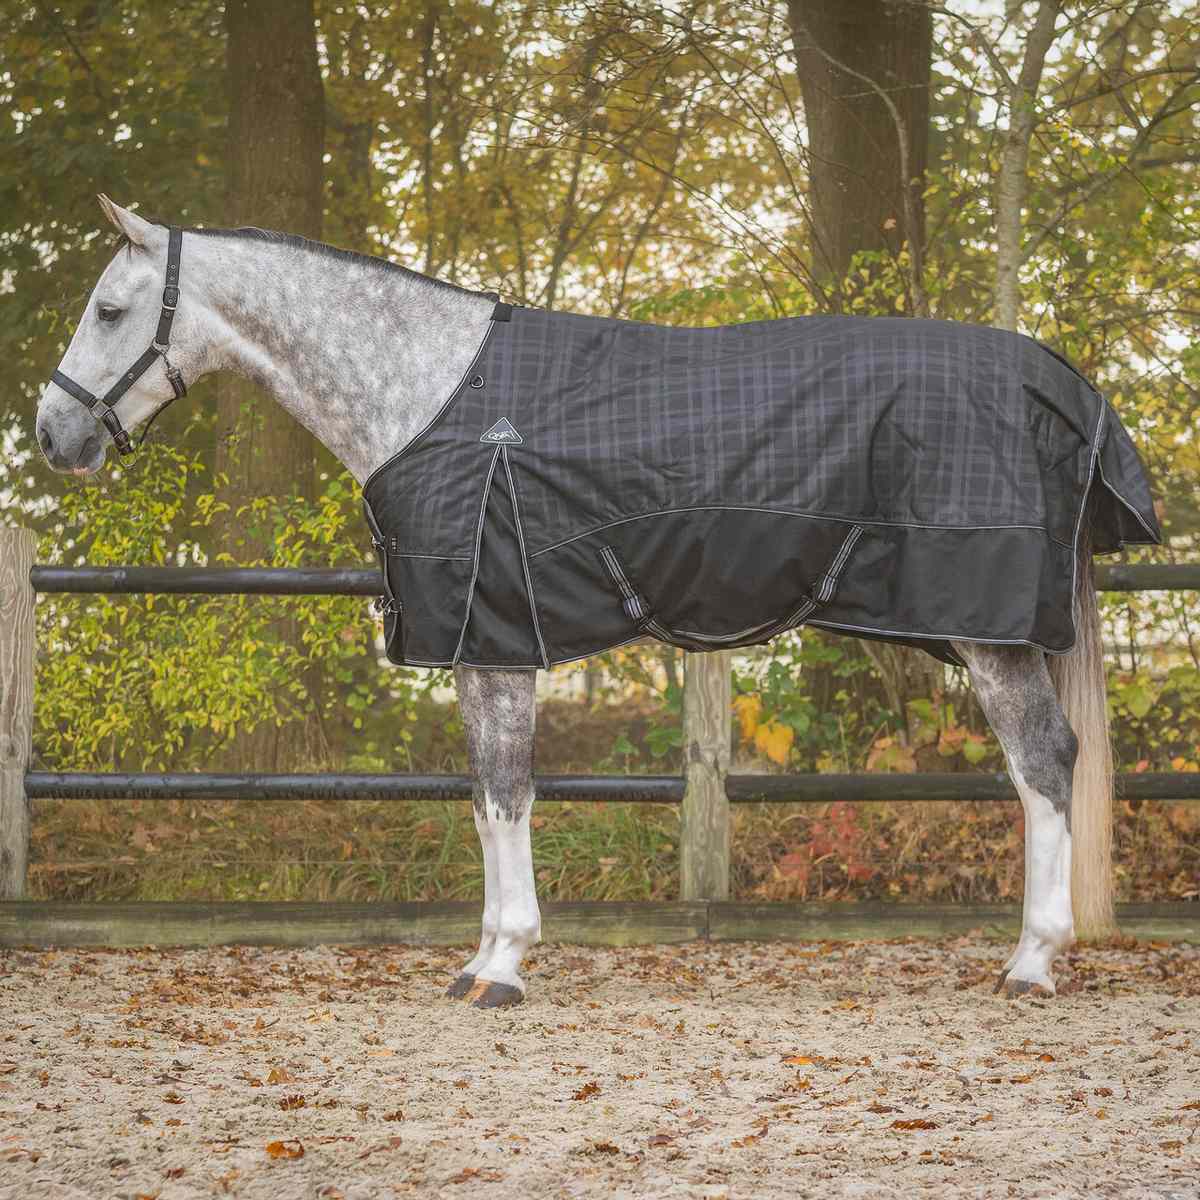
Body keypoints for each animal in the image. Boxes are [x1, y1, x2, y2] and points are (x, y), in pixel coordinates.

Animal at [35, 196, 1159, 1008]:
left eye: (109, 310)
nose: (53, 435)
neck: (433, 390)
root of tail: (1059, 381)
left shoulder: (497, 636)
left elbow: (506, 793)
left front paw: (503, 968)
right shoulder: (478, 648)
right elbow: (486, 797)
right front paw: (481, 958)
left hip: (988, 634)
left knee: (1043, 764)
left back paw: (1031, 963)